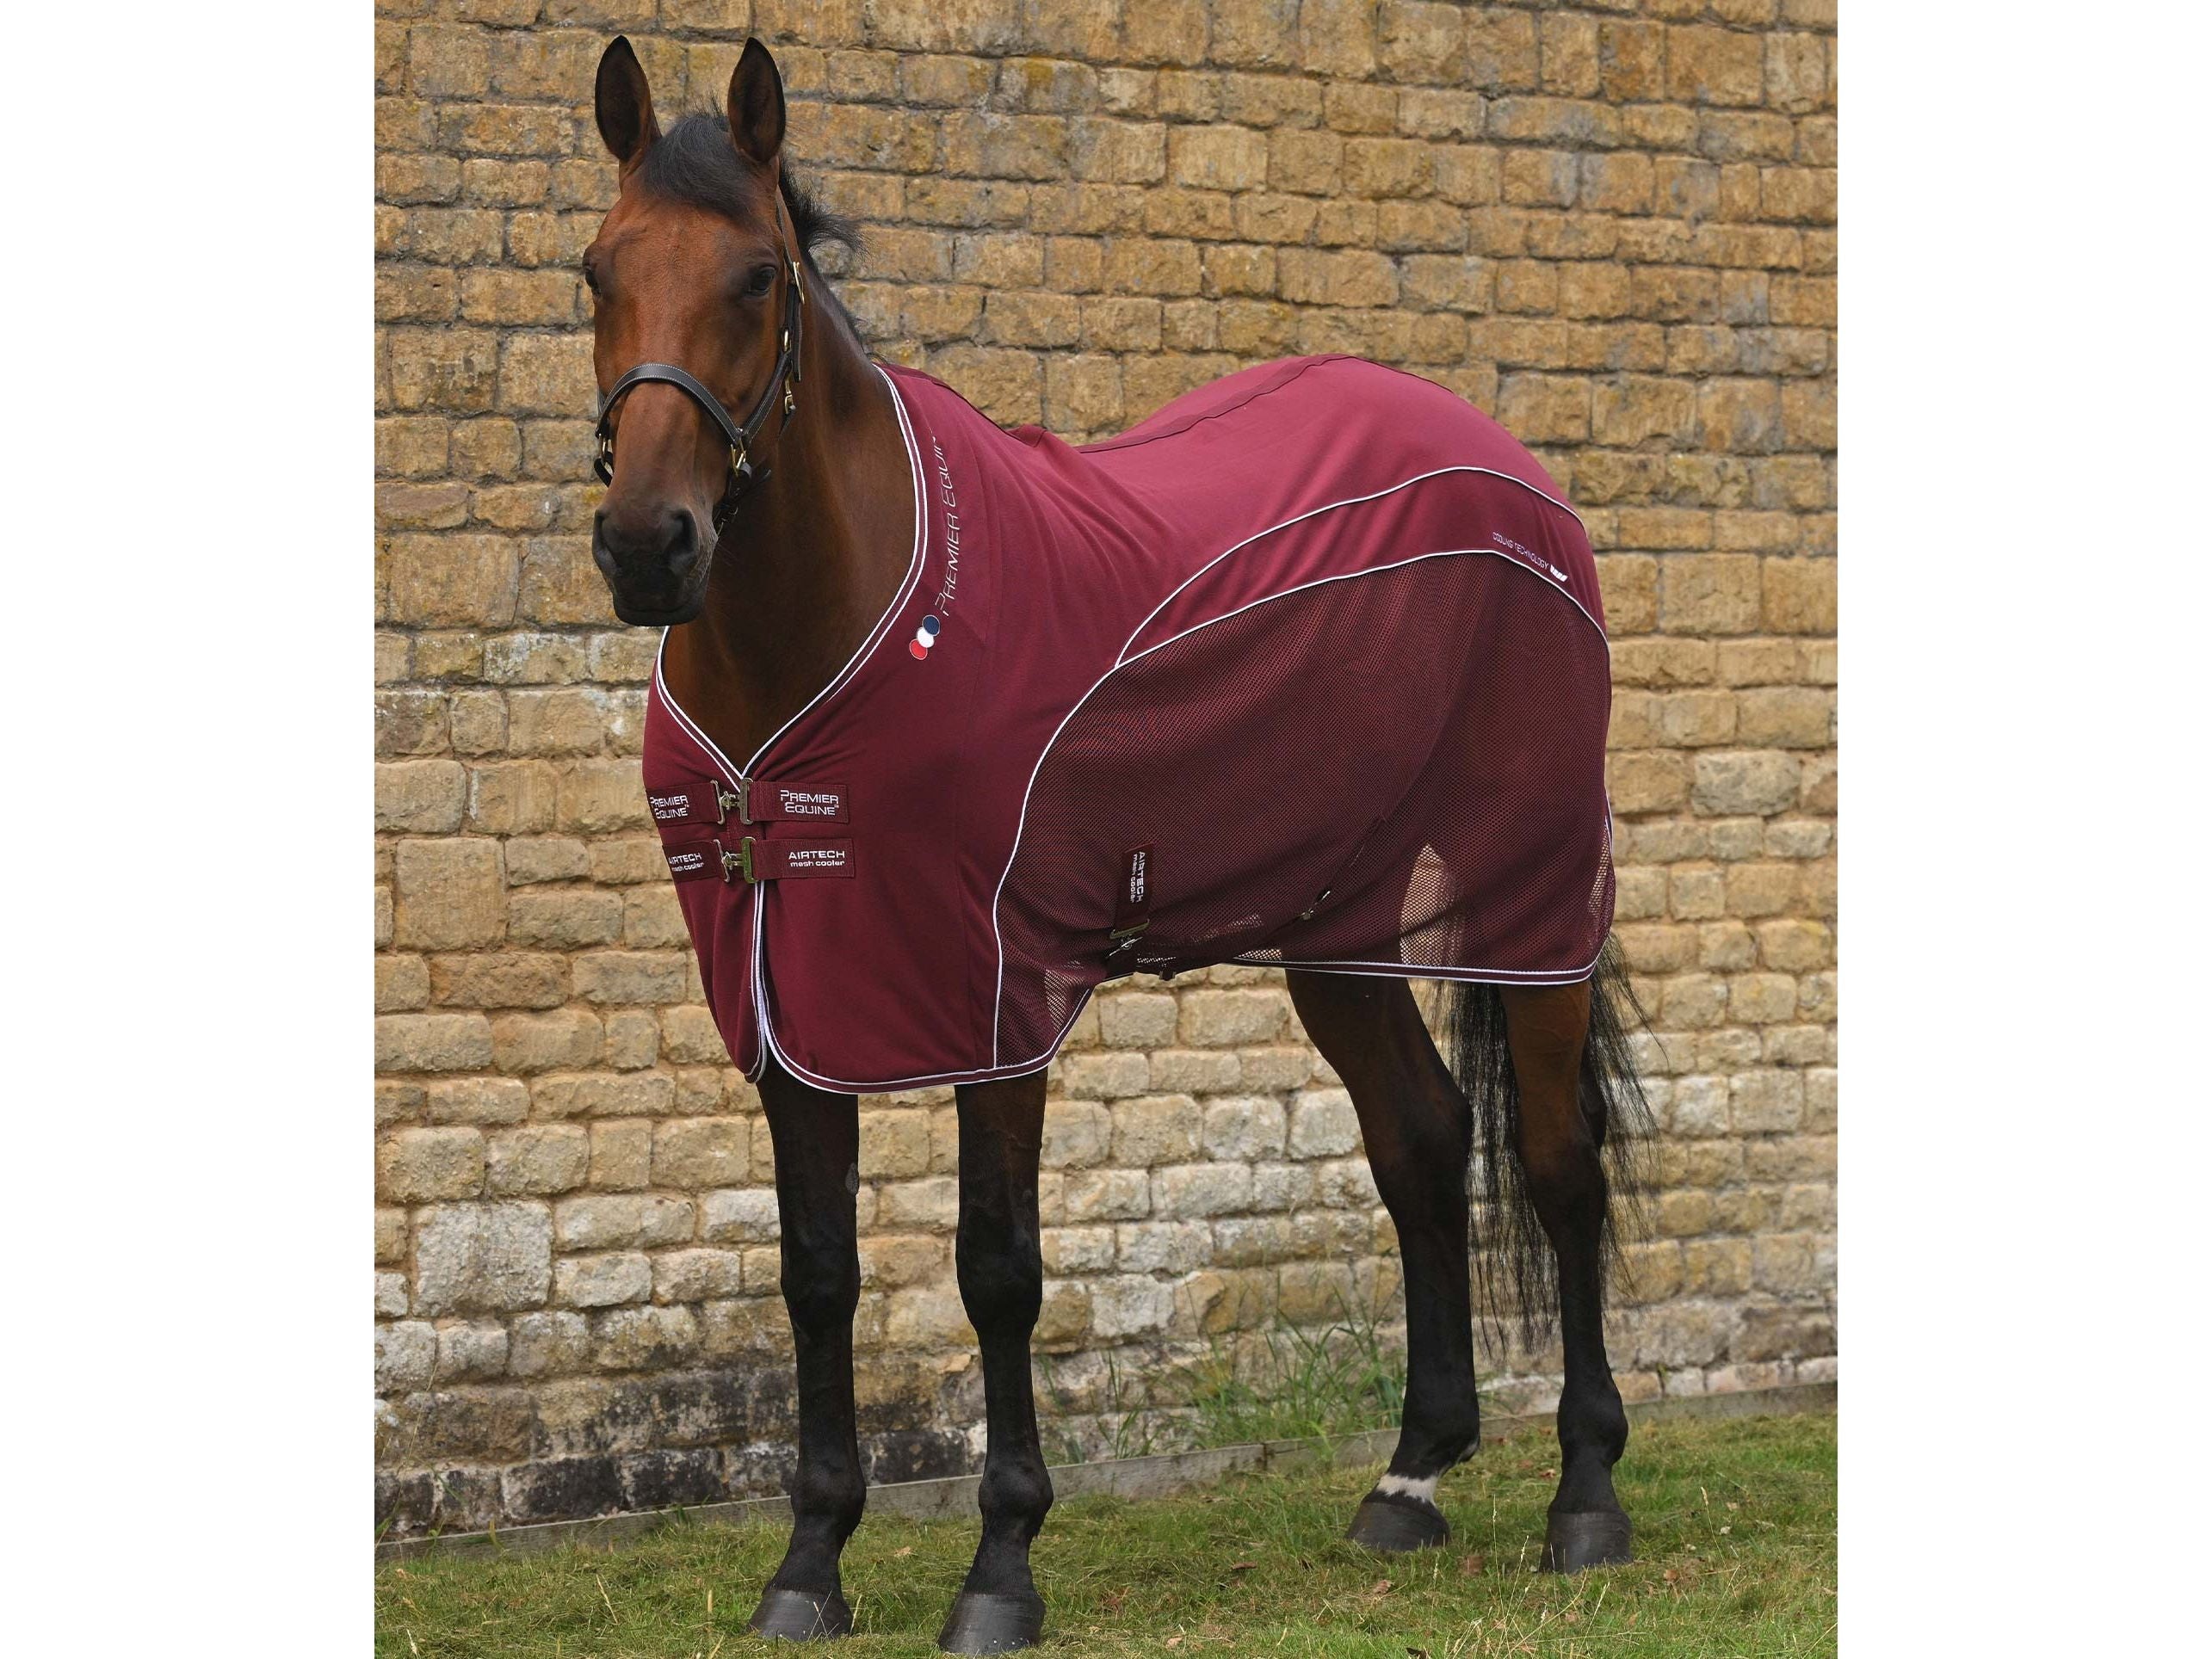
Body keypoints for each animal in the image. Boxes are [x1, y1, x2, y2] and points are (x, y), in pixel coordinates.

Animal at [583, 35, 1651, 1652]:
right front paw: (809, 1561)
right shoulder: (786, 996)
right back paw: (1408, 1479)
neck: (840, 629)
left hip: (1529, 907)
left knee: (1553, 1158)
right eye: (595, 272)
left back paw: (1584, 1497)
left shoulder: (990, 990)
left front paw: (999, 1566)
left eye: (758, 277)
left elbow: (996, 1268)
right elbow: (816, 1269)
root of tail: (1509, 470)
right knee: (1416, 1140)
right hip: (1334, 924)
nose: (651, 546)